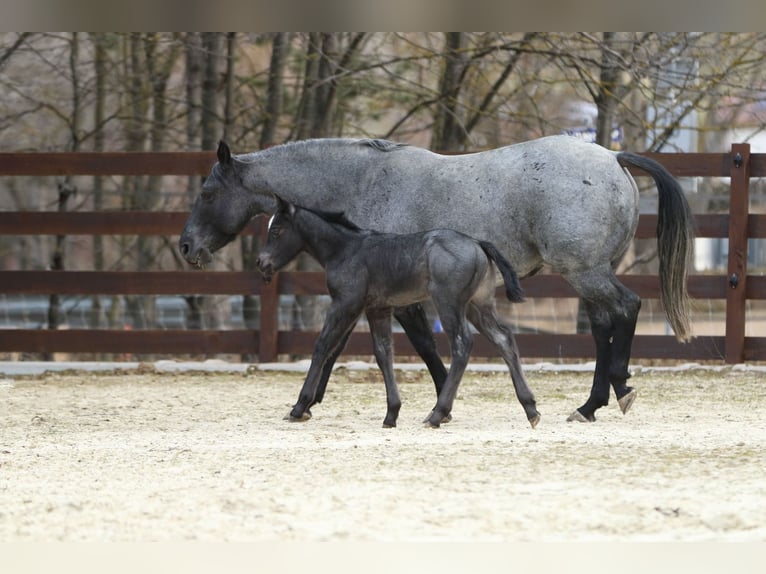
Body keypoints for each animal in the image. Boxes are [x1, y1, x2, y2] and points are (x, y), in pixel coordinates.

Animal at [258, 197, 540, 428]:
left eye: (277, 230)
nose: (261, 263)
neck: (346, 250)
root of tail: (477, 243)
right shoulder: (377, 308)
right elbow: (383, 353)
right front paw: (391, 413)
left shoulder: (345, 304)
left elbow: (323, 346)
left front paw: (299, 407)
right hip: (477, 305)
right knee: (504, 339)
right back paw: (530, 409)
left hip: (449, 303)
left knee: (463, 344)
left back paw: (437, 414)